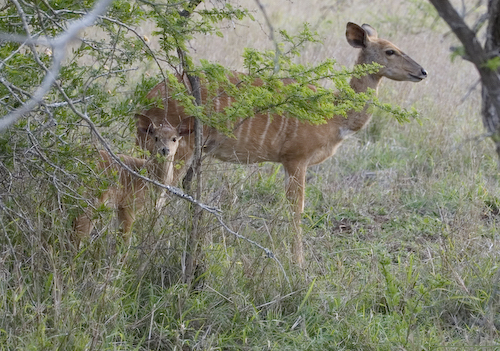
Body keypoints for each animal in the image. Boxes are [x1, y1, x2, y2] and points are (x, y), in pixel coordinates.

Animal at [75, 113, 194, 245]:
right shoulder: (129, 205)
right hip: (92, 199)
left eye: (174, 138)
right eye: (156, 137)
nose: (165, 149)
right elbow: (126, 241)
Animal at [140, 22, 426, 264]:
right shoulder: (296, 159)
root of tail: (146, 98)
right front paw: (298, 265)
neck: (334, 116)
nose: (422, 71)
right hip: (174, 148)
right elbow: (296, 210)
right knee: (159, 190)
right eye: (390, 51)